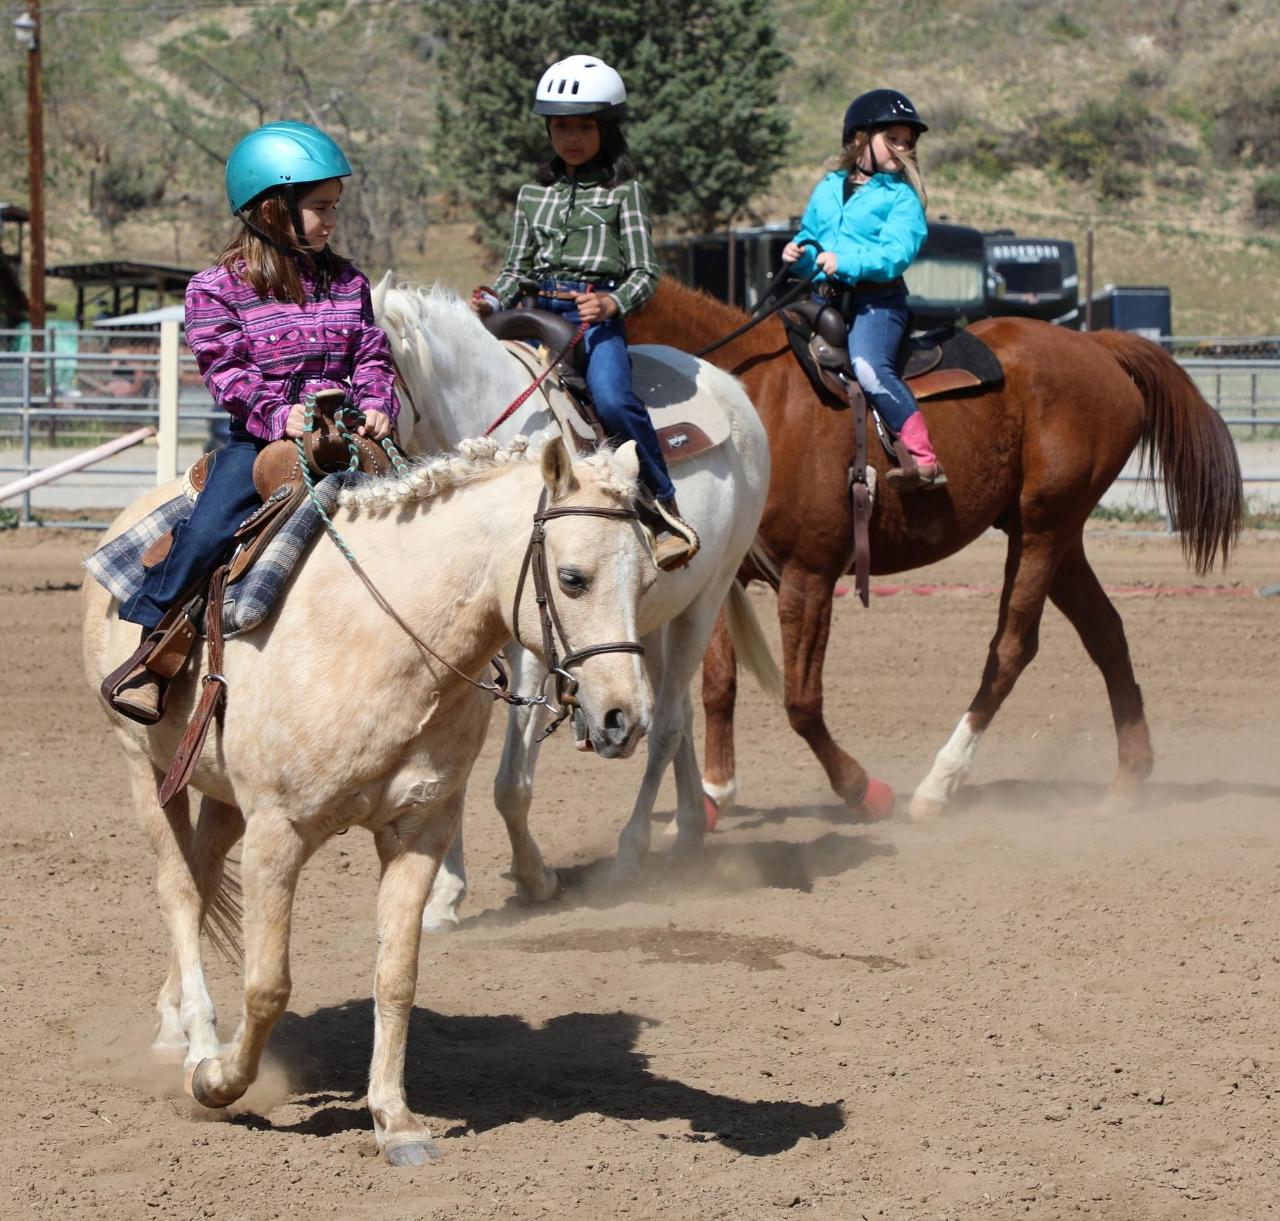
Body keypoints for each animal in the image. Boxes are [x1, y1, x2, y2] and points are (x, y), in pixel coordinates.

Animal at [85, 435, 655, 1162]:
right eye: (574, 577)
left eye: (647, 579)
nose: (623, 718)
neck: (382, 641)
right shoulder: (278, 831)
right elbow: (267, 985)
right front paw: (217, 1082)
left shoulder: (419, 830)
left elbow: (396, 976)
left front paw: (395, 1119)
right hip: (145, 767)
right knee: (180, 891)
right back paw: (197, 1045)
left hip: (221, 793)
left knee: (204, 874)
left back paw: (174, 1022)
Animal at [373, 276, 778, 921]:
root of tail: (731, 390)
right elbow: (449, 771)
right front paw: (445, 896)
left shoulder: (531, 650)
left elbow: (510, 783)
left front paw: (533, 878)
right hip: (646, 623)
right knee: (671, 715)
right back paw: (689, 830)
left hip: (705, 599)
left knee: (665, 723)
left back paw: (631, 854)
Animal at [624, 276, 1244, 819]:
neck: (753, 399)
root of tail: (1097, 345)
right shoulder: (724, 575)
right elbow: (716, 685)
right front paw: (713, 794)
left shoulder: (809, 574)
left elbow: (801, 702)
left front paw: (861, 790)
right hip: (1056, 536)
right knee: (1106, 634)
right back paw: (1127, 781)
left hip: (1044, 528)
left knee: (1012, 648)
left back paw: (937, 785)